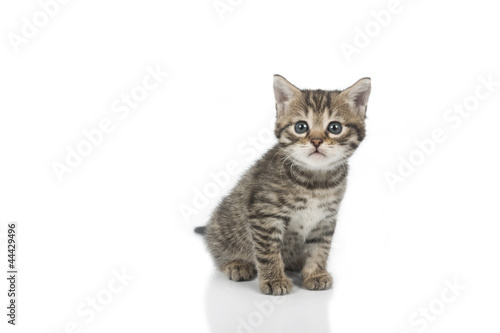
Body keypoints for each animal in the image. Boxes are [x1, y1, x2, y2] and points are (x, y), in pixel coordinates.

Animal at [196, 74, 372, 294]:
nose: (316, 141)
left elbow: (320, 247)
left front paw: (315, 273)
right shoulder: (264, 214)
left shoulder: (325, 218)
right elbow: (268, 251)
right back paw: (237, 264)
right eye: (301, 127)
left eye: (334, 128)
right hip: (223, 225)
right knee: (222, 251)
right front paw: (274, 279)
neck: (315, 183)